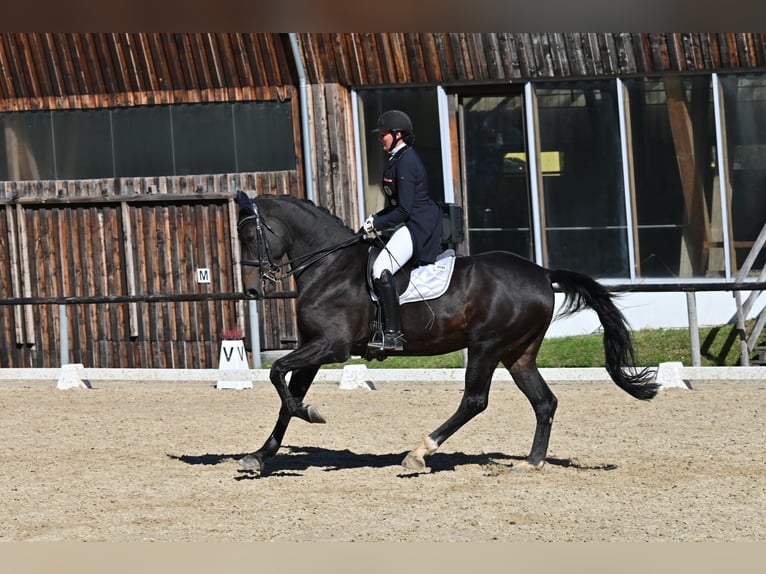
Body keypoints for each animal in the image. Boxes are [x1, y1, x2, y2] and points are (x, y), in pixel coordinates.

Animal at [236, 194, 660, 476]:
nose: (252, 291)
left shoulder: (332, 346)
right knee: (544, 402)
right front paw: (260, 454)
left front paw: (309, 413)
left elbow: (276, 375)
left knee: (474, 401)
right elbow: (285, 393)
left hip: (486, 346)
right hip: (518, 353)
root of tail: (542, 272)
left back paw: (419, 453)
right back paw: (532, 462)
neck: (330, 265)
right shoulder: (313, 346)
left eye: (250, 237)